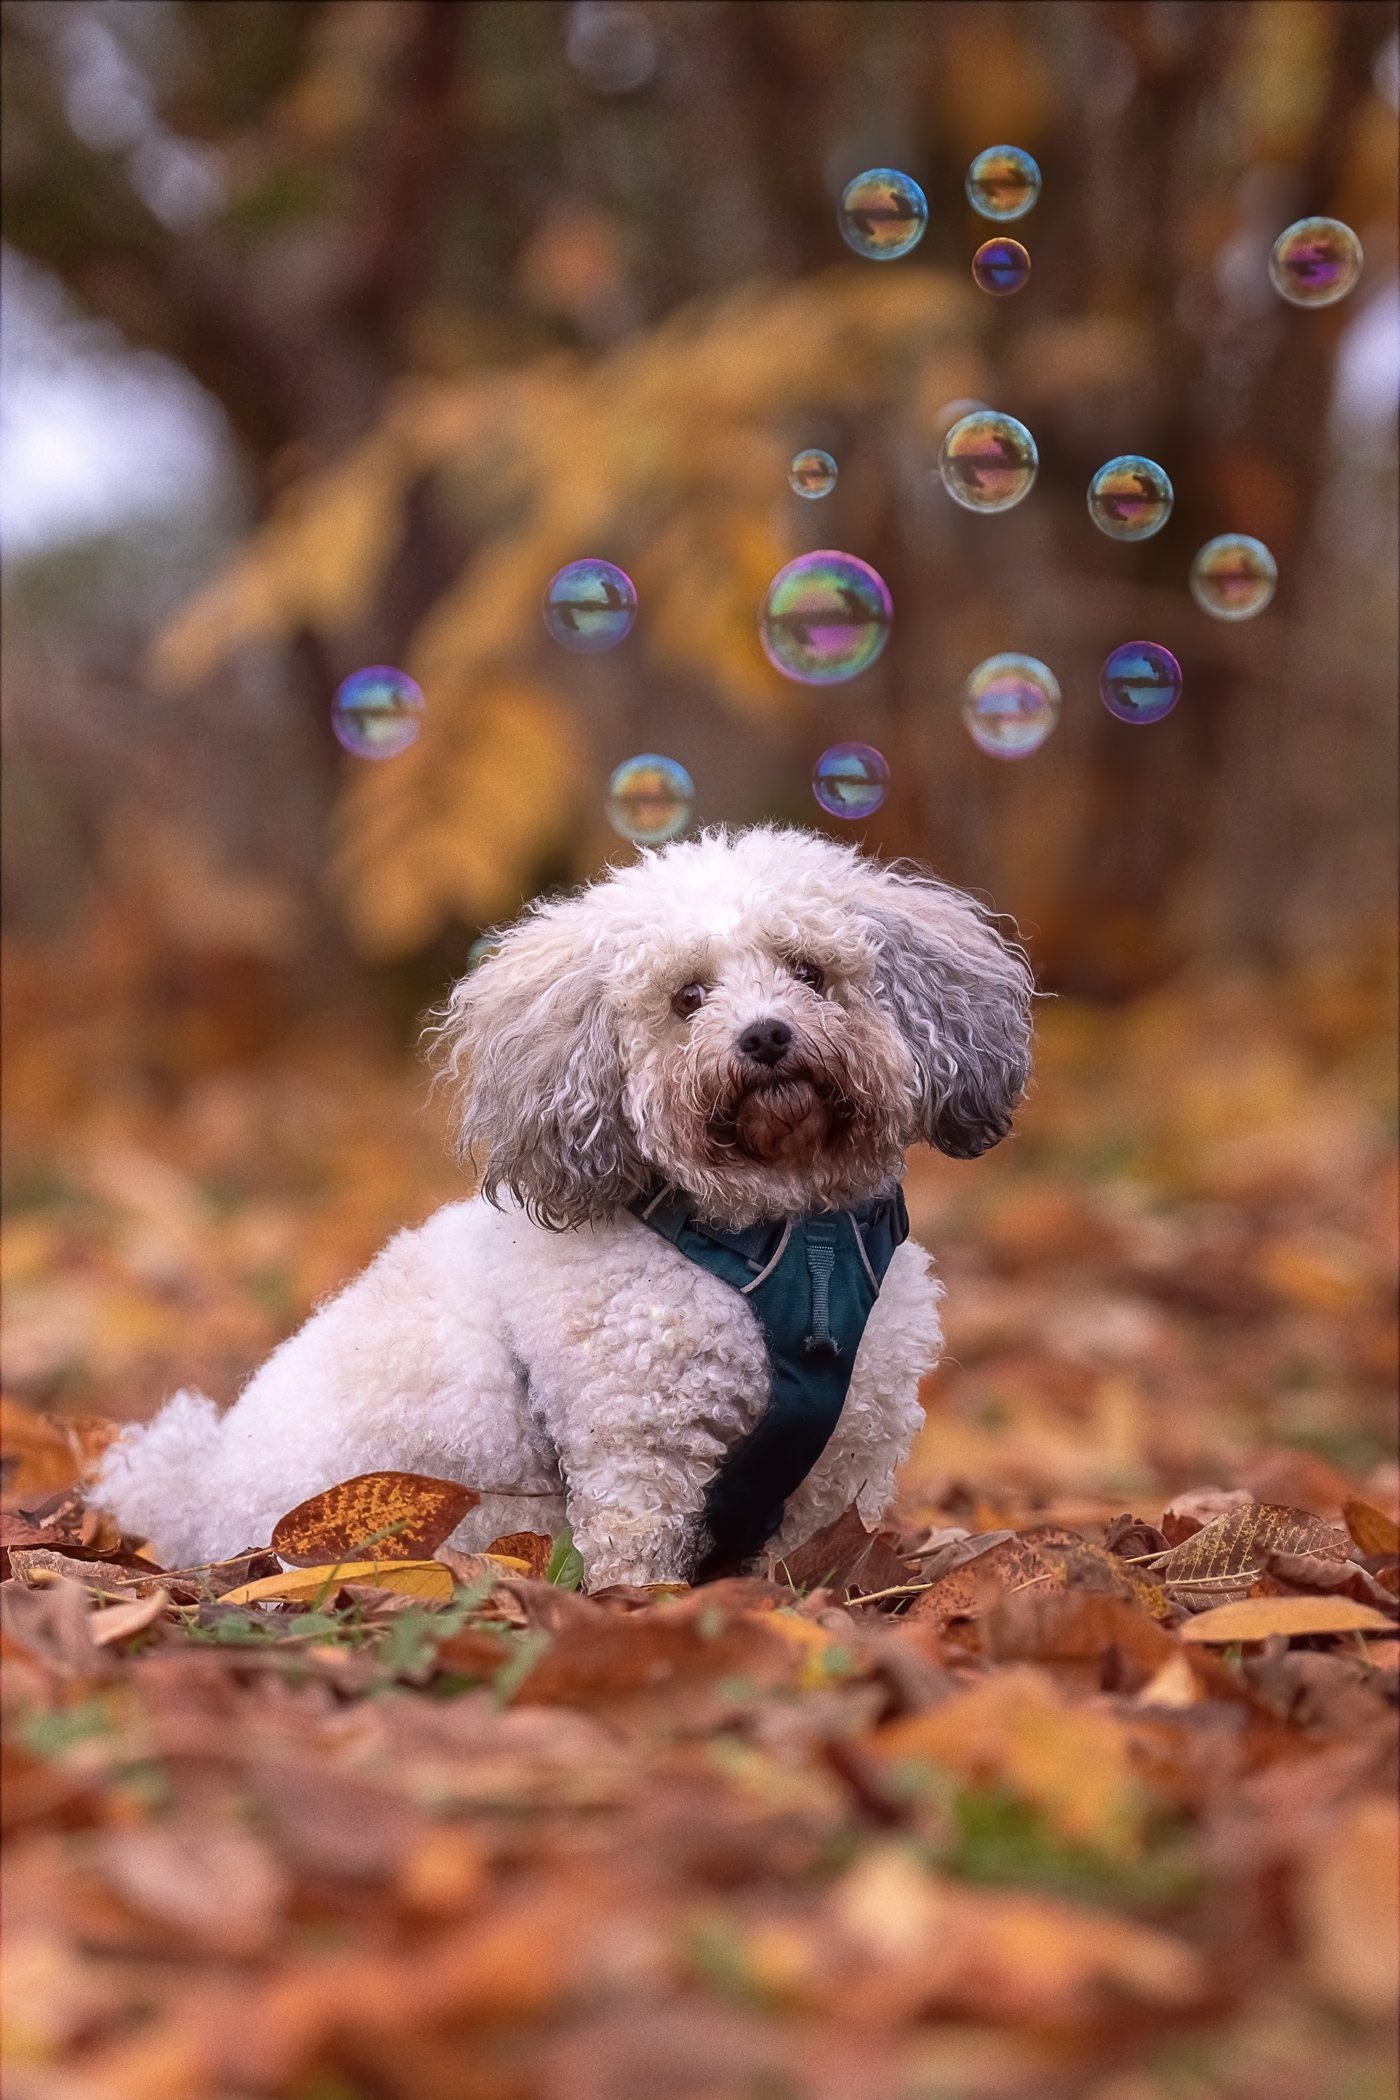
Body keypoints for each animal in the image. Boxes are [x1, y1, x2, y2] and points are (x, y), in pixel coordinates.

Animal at [96, 827, 1028, 1579]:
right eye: (689, 997)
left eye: (810, 972)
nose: (765, 1034)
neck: (788, 1235)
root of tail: (196, 1494)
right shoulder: (637, 1446)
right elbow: (636, 1550)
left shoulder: (848, 1452)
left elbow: (815, 1554)